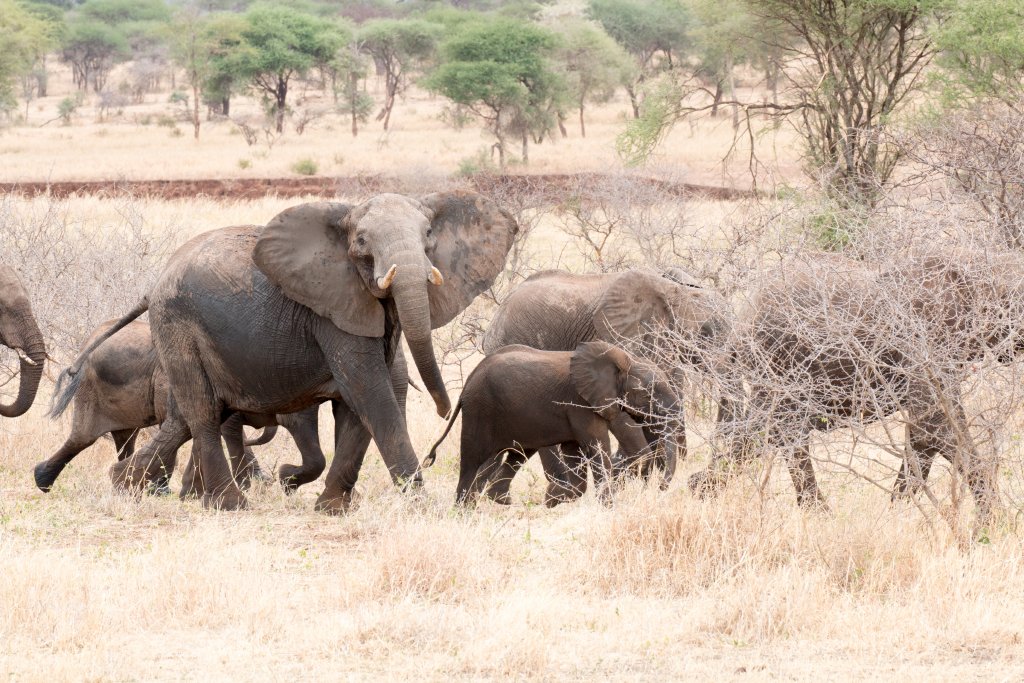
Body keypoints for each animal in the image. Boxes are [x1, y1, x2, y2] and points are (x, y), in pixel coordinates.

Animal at [56, 191, 517, 511]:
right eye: (362, 242)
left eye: (428, 236)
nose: (445, 409)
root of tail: (154, 283)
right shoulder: (330, 311)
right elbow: (370, 393)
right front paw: (420, 506)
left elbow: (359, 404)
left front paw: (330, 508)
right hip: (176, 324)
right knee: (201, 411)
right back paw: (228, 505)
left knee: (192, 414)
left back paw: (126, 485)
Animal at [423, 341, 681, 506]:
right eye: (649, 393)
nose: (659, 489)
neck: (623, 359)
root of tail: (468, 382)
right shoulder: (579, 402)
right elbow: (597, 445)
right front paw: (607, 507)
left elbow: (574, 451)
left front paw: (551, 499)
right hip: (480, 410)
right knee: (472, 458)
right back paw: (464, 510)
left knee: (518, 454)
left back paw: (500, 501)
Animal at [688, 252, 1023, 514]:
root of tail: (742, 320)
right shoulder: (924, 347)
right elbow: (935, 425)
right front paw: (995, 522)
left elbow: (921, 434)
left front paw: (895, 512)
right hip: (784, 362)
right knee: (781, 429)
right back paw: (817, 512)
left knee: (763, 431)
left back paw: (700, 490)